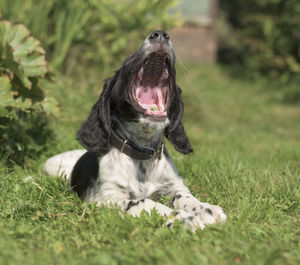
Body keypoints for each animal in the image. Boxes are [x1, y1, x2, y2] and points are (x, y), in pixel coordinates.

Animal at [44, 30, 227, 229]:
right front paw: (183, 218)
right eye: (128, 61)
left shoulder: (173, 186)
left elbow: (184, 196)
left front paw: (206, 208)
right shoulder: (107, 199)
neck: (142, 156)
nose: (160, 34)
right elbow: (146, 202)